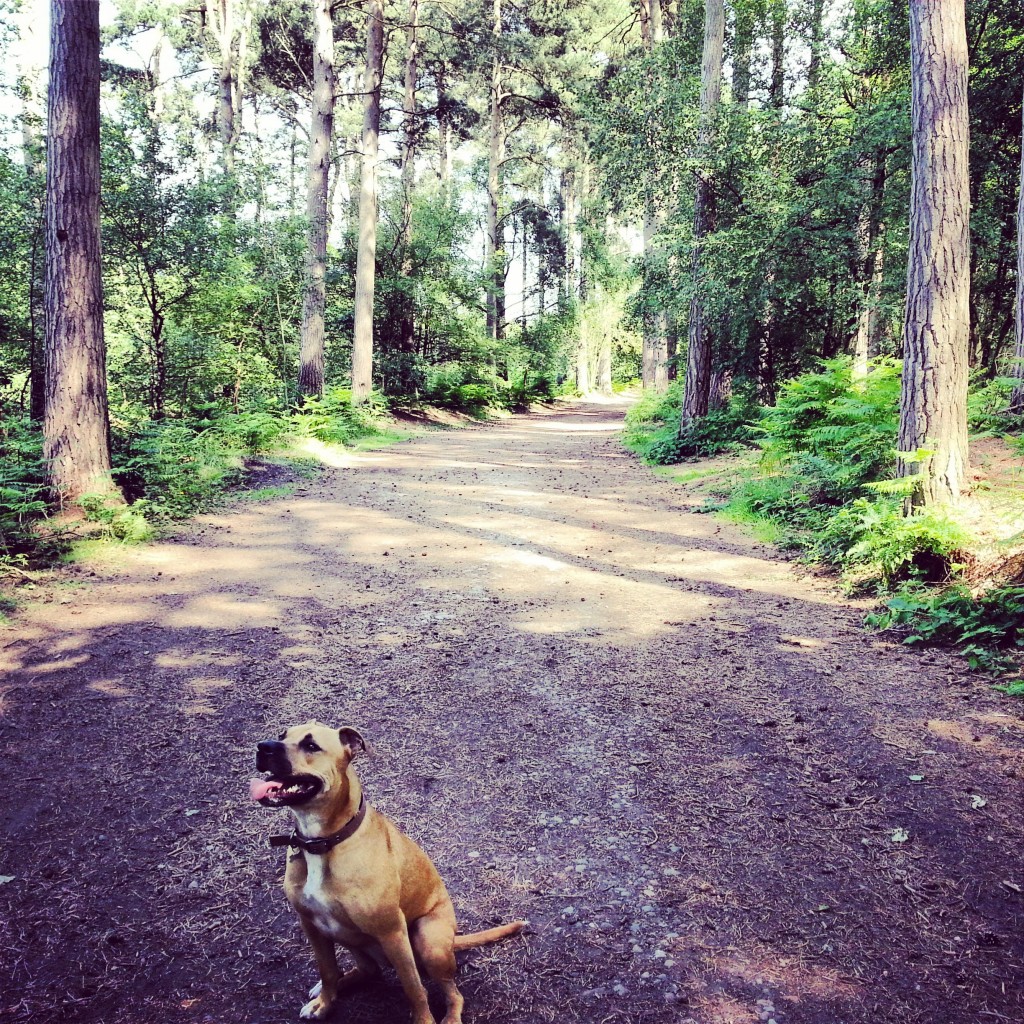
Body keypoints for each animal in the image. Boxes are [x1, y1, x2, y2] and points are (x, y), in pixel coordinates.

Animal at [251, 724, 528, 1024]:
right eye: (282, 735)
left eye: (311, 746)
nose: (262, 746)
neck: (322, 842)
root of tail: (453, 938)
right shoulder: (311, 925)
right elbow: (327, 969)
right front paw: (324, 1003)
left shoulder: (392, 932)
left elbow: (413, 987)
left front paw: (423, 1020)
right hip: (348, 938)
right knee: (367, 970)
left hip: (428, 941)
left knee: (452, 992)